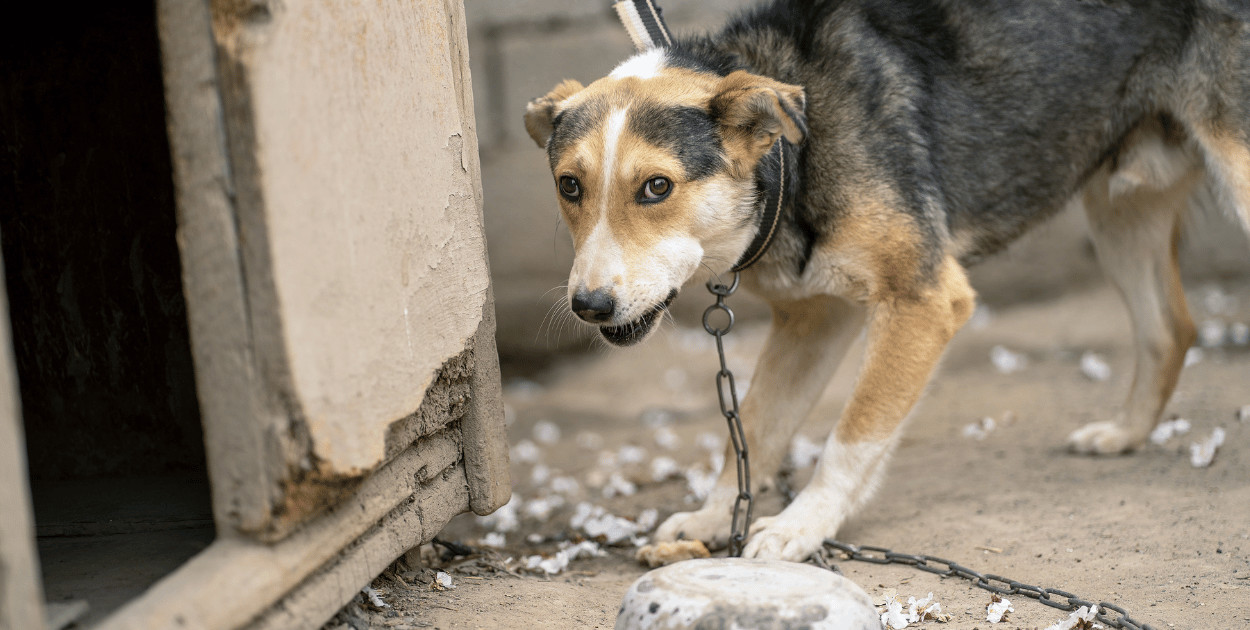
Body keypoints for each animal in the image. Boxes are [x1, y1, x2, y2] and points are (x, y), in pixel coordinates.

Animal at [520, 0, 1250, 560]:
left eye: (656, 186)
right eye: (569, 186)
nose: (588, 306)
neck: (795, 152)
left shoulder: (924, 301)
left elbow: (853, 435)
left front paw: (800, 525)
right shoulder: (814, 316)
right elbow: (755, 424)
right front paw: (713, 515)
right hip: (1120, 209)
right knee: (1171, 327)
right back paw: (1124, 434)